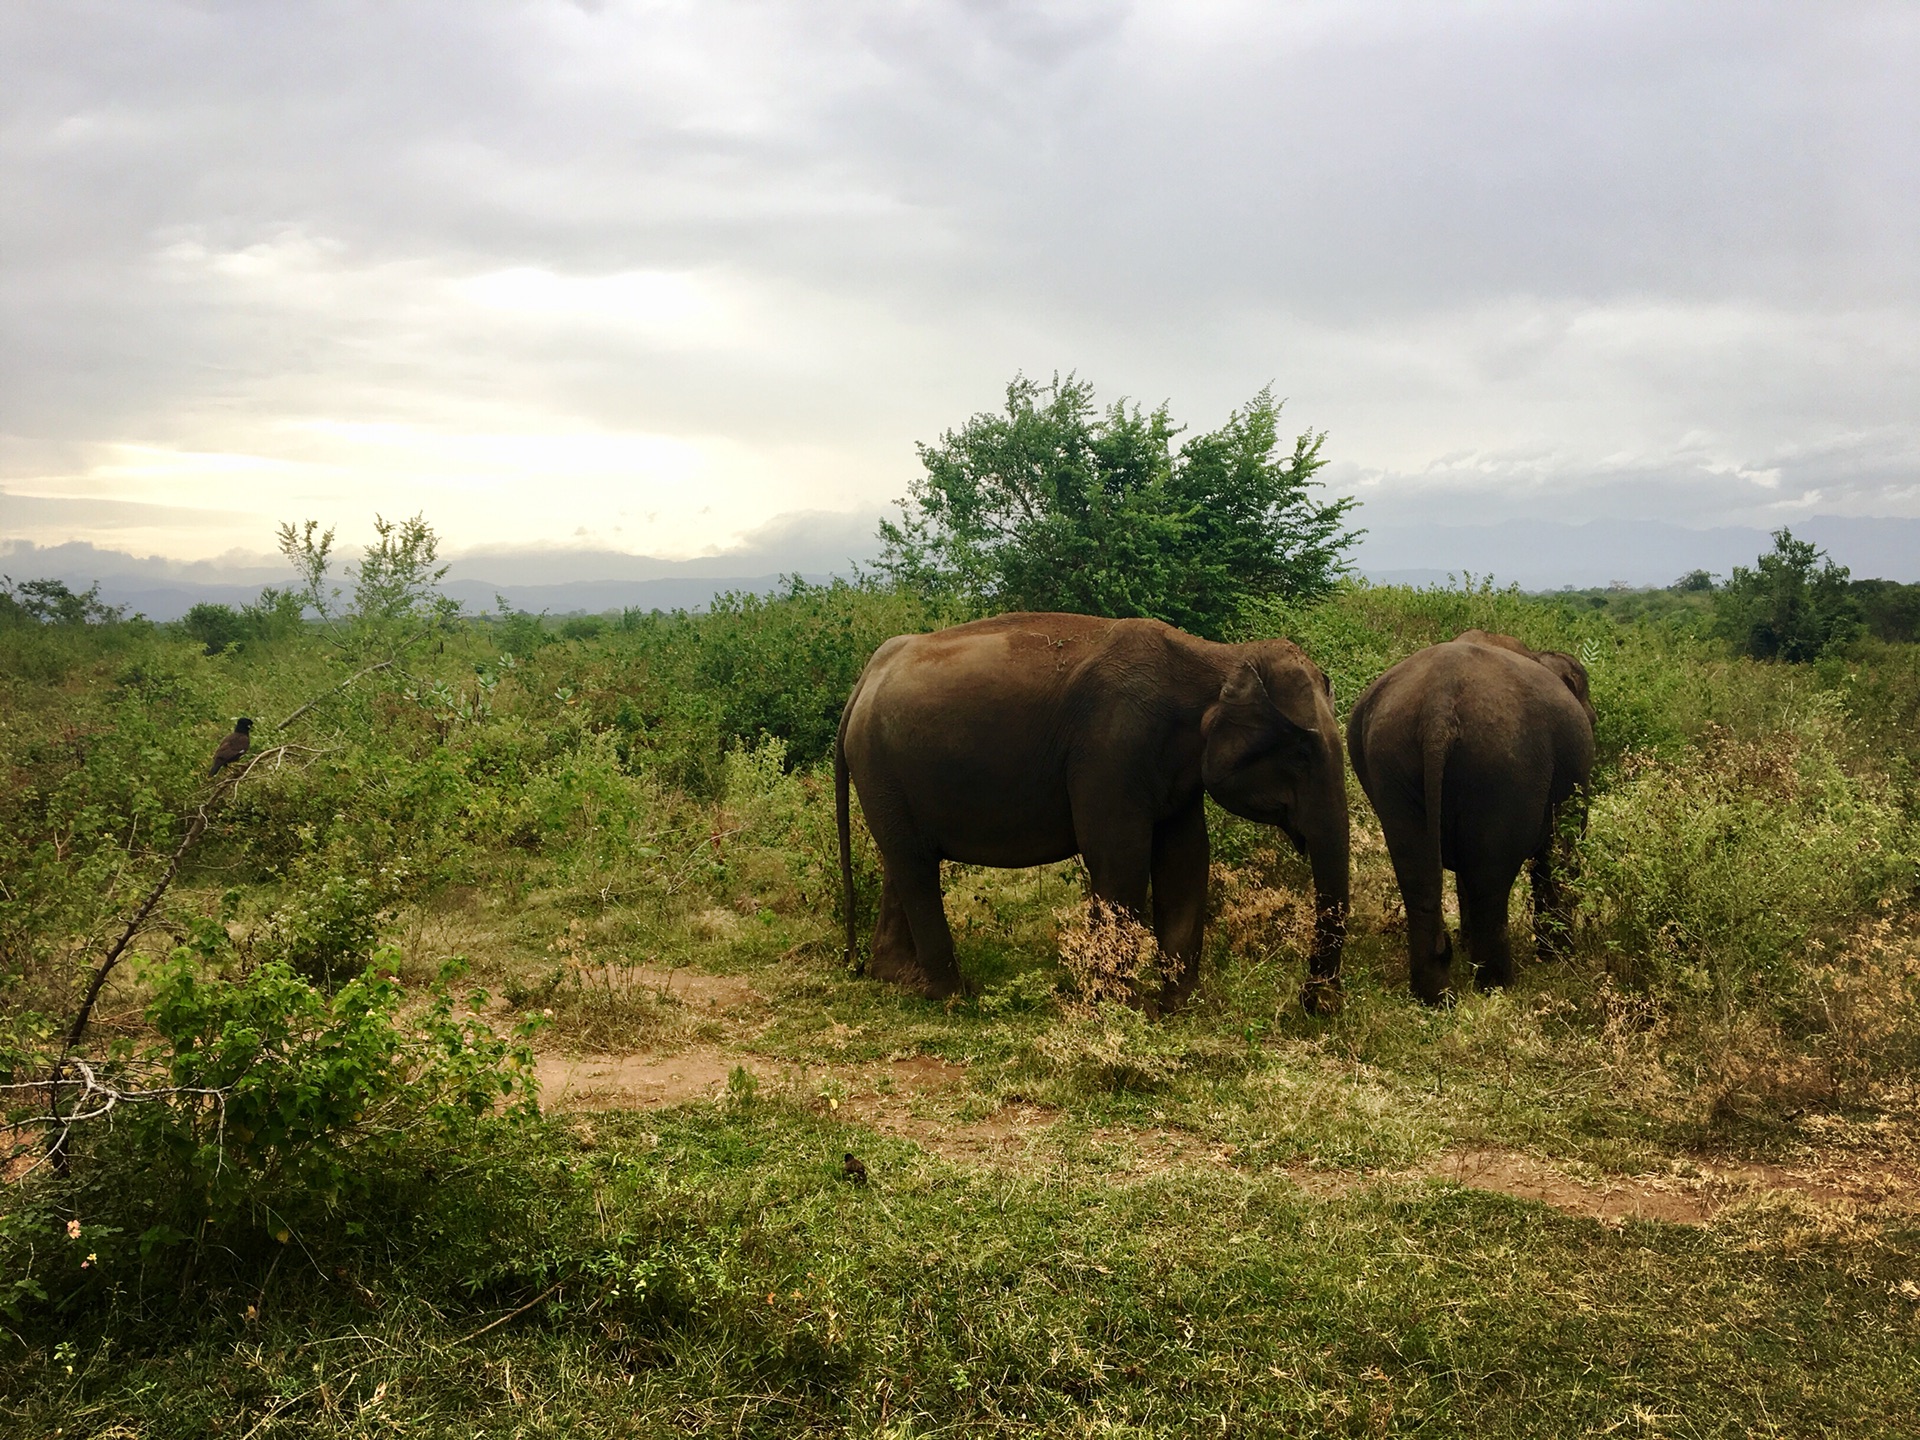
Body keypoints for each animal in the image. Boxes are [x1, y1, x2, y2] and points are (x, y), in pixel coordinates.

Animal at [837, 614, 1351, 1006]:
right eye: (1302, 753)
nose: (1314, 1002)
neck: (1216, 656)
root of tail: (867, 675)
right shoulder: (1112, 747)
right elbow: (1119, 854)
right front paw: (1119, 1007)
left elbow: (1186, 858)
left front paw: (1175, 1008)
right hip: (880, 766)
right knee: (915, 867)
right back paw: (956, 995)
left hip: (887, 776)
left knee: (903, 861)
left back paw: (898, 978)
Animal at [1344, 625, 1597, 1006]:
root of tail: (1437, 710)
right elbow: (1558, 854)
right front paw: (1558, 959)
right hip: (1503, 764)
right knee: (1490, 879)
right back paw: (1497, 986)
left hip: (1390, 758)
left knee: (1417, 872)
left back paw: (1434, 994)